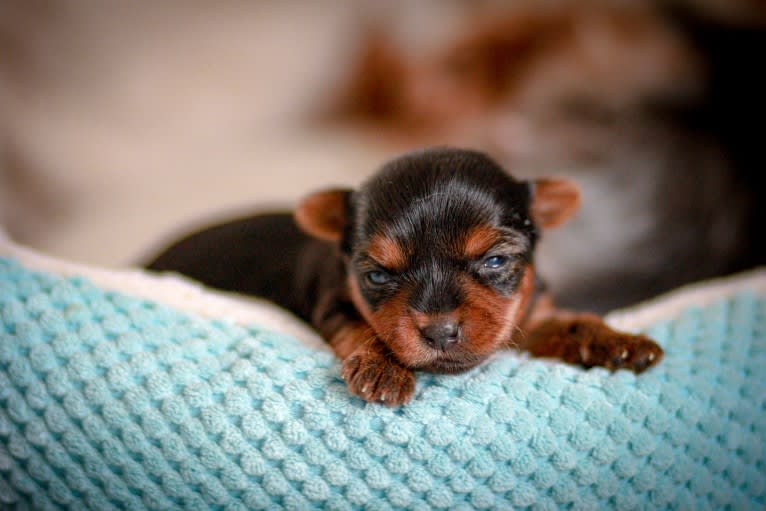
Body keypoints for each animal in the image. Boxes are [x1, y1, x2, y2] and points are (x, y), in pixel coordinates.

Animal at [147, 149, 664, 408]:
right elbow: (366, 328)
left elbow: (568, 322)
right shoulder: (335, 303)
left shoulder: (525, 313)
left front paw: (619, 342)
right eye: (378, 275)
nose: (439, 333)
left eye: (496, 261)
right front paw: (382, 369)